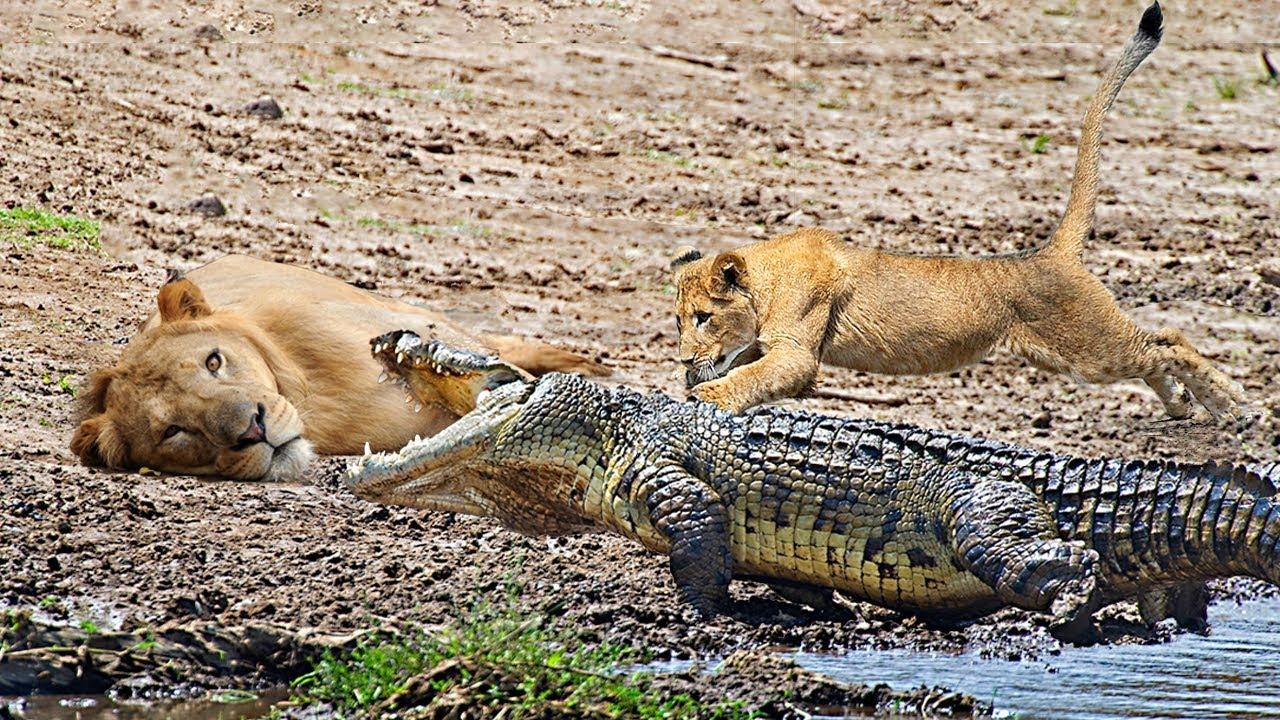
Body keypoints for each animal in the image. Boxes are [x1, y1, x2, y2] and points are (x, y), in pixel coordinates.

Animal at [665, 4, 1244, 420]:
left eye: (704, 317)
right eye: (677, 321)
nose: (684, 359)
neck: (765, 278)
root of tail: (1050, 254)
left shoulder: (798, 353)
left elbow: (748, 378)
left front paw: (703, 397)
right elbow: (745, 369)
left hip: (1089, 349)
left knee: (1170, 343)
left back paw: (1234, 405)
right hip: (1074, 352)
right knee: (1158, 346)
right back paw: (1181, 404)